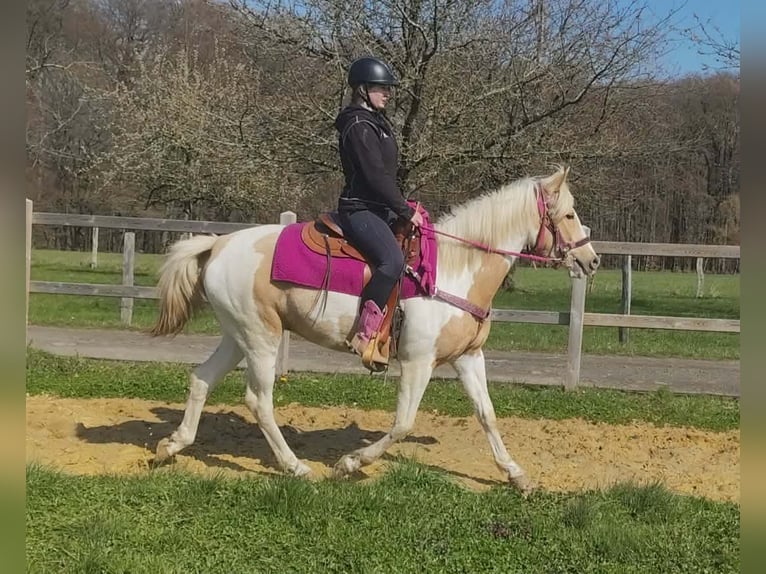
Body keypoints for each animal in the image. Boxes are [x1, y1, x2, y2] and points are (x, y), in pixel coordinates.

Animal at [150, 165, 600, 493]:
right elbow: (403, 423)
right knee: (259, 401)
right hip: (261, 339)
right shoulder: (418, 363)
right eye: (569, 214)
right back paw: (296, 467)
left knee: (202, 379)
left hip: (238, 336)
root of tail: (218, 245)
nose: (592, 260)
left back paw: (171, 446)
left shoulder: (469, 357)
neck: (455, 270)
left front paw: (516, 475)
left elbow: (487, 414)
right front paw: (349, 463)